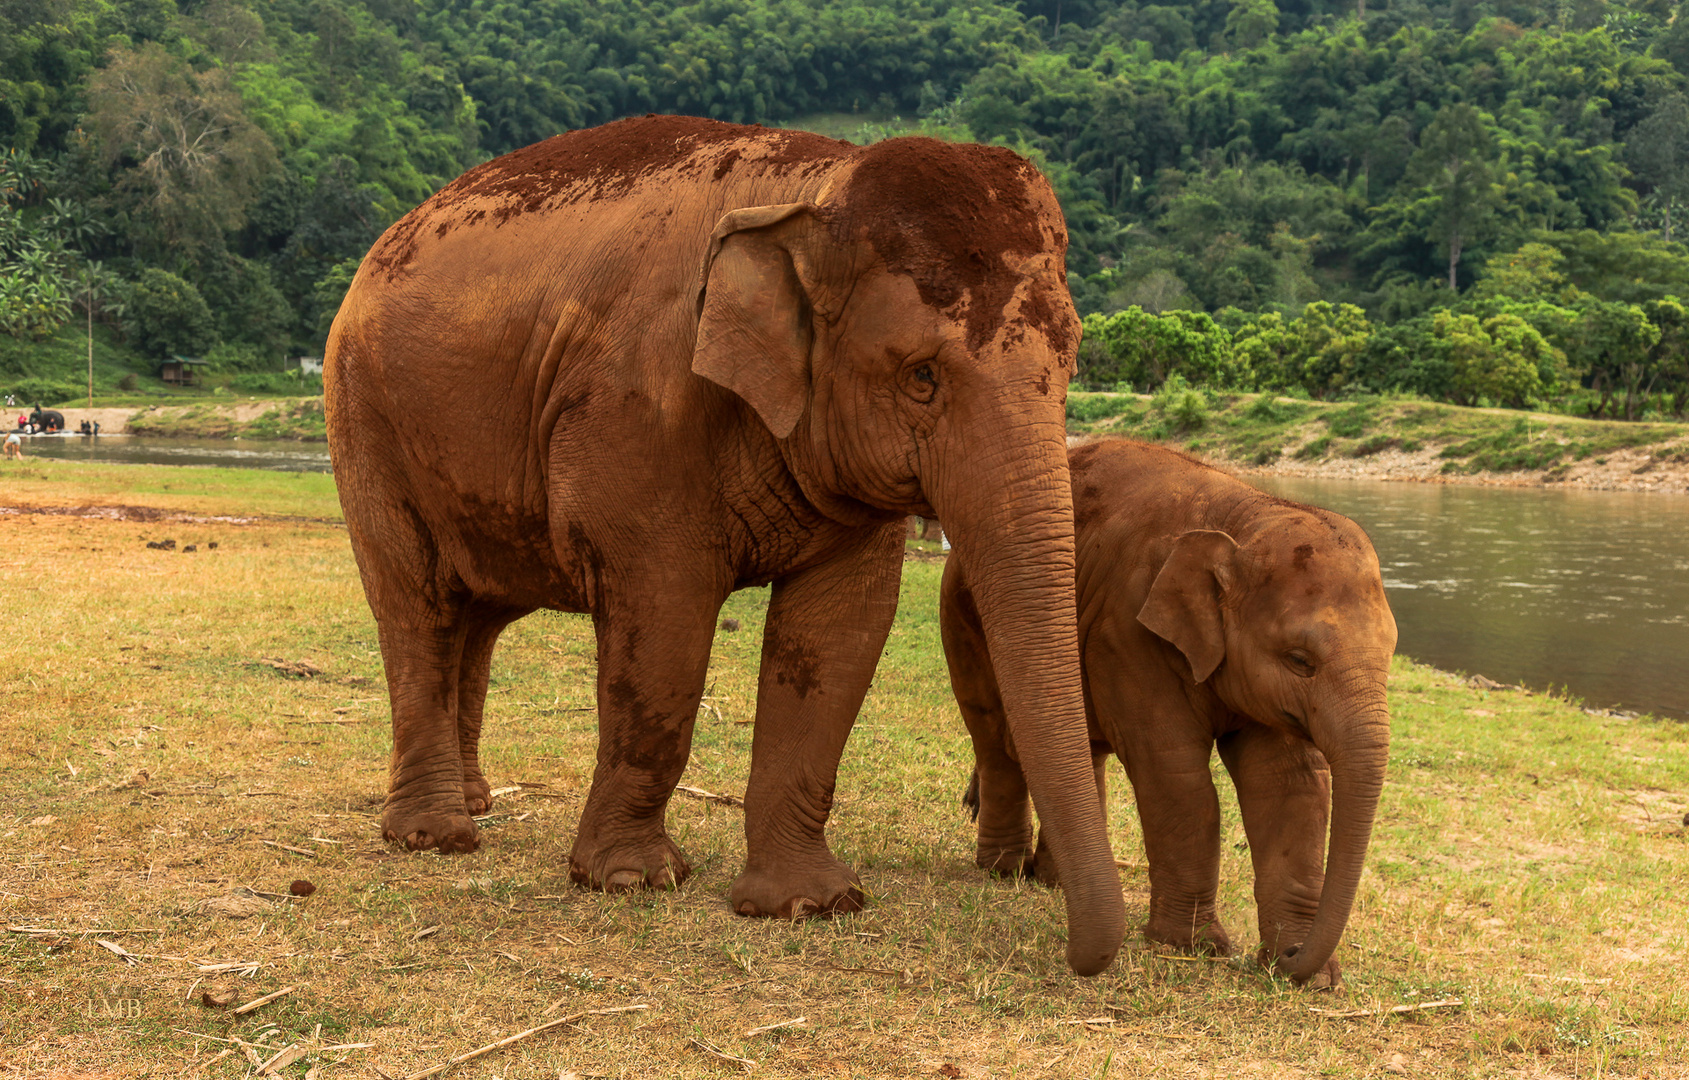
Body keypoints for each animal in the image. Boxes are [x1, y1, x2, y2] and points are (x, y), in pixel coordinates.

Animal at [324, 118, 1128, 980]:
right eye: (921, 377)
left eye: (1069, 365)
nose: (1076, 956)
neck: (813, 189)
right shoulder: (636, 409)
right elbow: (664, 626)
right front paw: (631, 880)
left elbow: (837, 637)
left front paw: (808, 904)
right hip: (362, 417)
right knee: (418, 606)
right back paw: (435, 836)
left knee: (478, 617)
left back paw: (473, 801)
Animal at [939, 439, 1398, 987]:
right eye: (1300, 660)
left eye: (1393, 652)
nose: (1289, 959)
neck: (1246, 516)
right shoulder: (1127, 632)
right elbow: (1176, 776)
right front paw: (1193, 948)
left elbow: (1290, 784)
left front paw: (1312, 976)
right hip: (963, 612)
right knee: (993, 735)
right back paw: (1003, 872)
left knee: (1081, 752)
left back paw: (1050, 882)